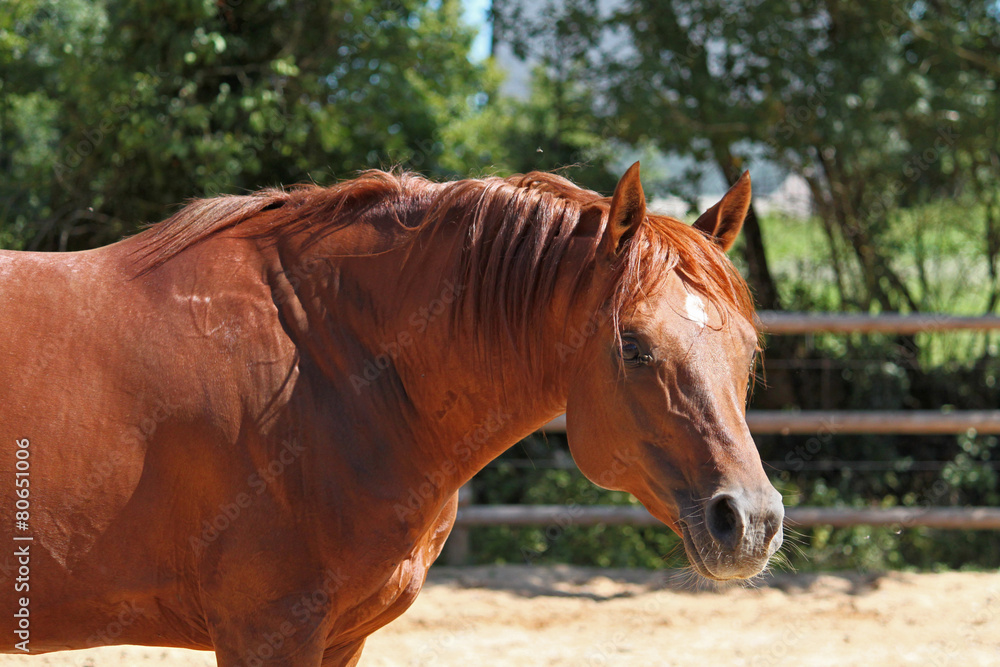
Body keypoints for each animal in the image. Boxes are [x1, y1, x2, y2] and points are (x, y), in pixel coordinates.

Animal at [0, 162, 783, 665]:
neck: (321, 362)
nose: (751, 519)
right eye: (633, 346)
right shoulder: (266, 632)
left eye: (748, 349)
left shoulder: (339, 636)